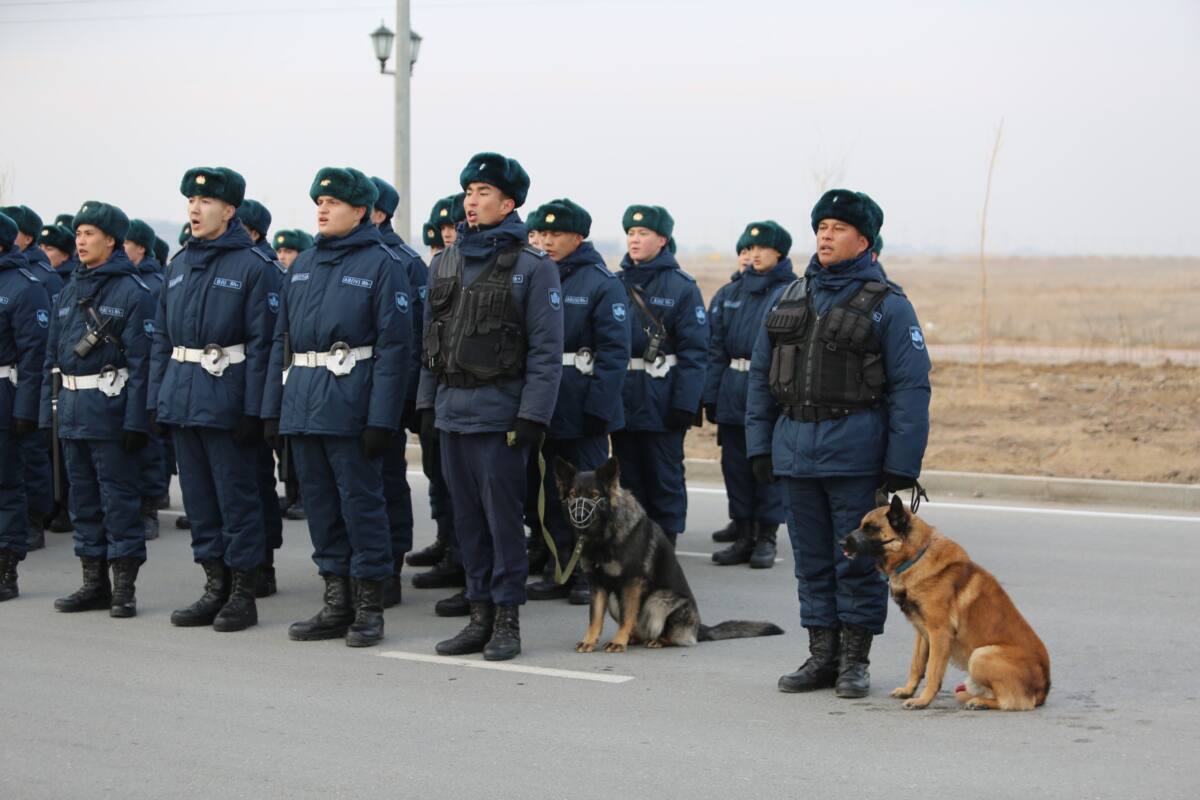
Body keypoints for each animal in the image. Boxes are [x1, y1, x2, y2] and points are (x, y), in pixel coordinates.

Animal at [554, 453, 787, 652]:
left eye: (594, 496)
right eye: (573, 495)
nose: (578, 516)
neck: (604, 536)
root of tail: (699, 627)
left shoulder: (631, 582)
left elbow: (628, 615)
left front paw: (618, 642)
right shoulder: (598, 585)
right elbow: (595, 617)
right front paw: (589, 640)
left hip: (658, 600)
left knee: (672, 636)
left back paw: (656, 640)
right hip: (615, 599)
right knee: (638, 630)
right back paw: (633, 638)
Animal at [844, 496, 1051, 710]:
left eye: (871, 529)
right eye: (861, 525)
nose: (842, 542)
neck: (916, 556)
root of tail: (1043, 690)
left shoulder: (939, 633)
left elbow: (933, 672)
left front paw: (922, 700)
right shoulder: (922, 634)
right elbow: (916, 665)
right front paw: (909, 690)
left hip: (980, 656)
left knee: (1012, 702)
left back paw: (979, 702)